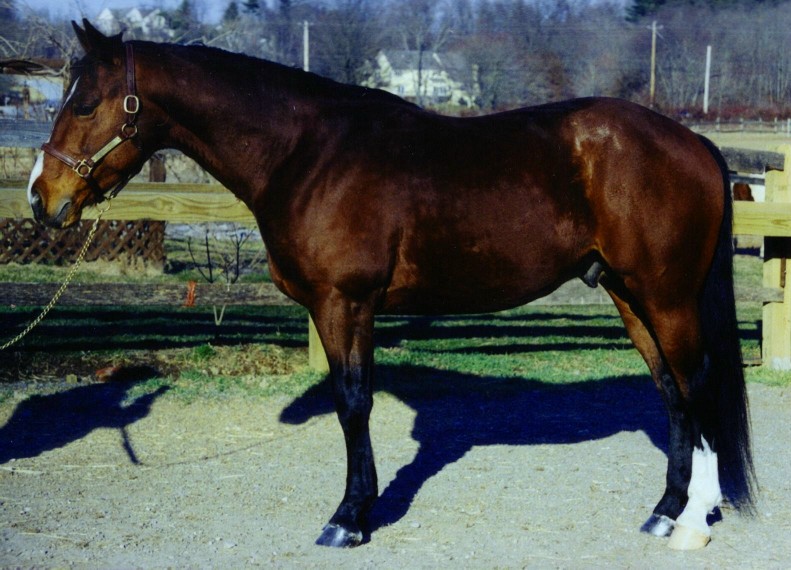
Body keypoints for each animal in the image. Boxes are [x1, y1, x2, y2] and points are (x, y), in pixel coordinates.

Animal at [28, 20, 754, 550]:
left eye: (85, 103)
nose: (42, 198)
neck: (307, 154)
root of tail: (692, 141)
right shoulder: (340, 308)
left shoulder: (344, 303)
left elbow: (352, 403)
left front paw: (349, 517)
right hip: (629, 295)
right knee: (670, 393)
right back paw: (664, 510)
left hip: (665, 294)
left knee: (696, 385)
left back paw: (693, 522)